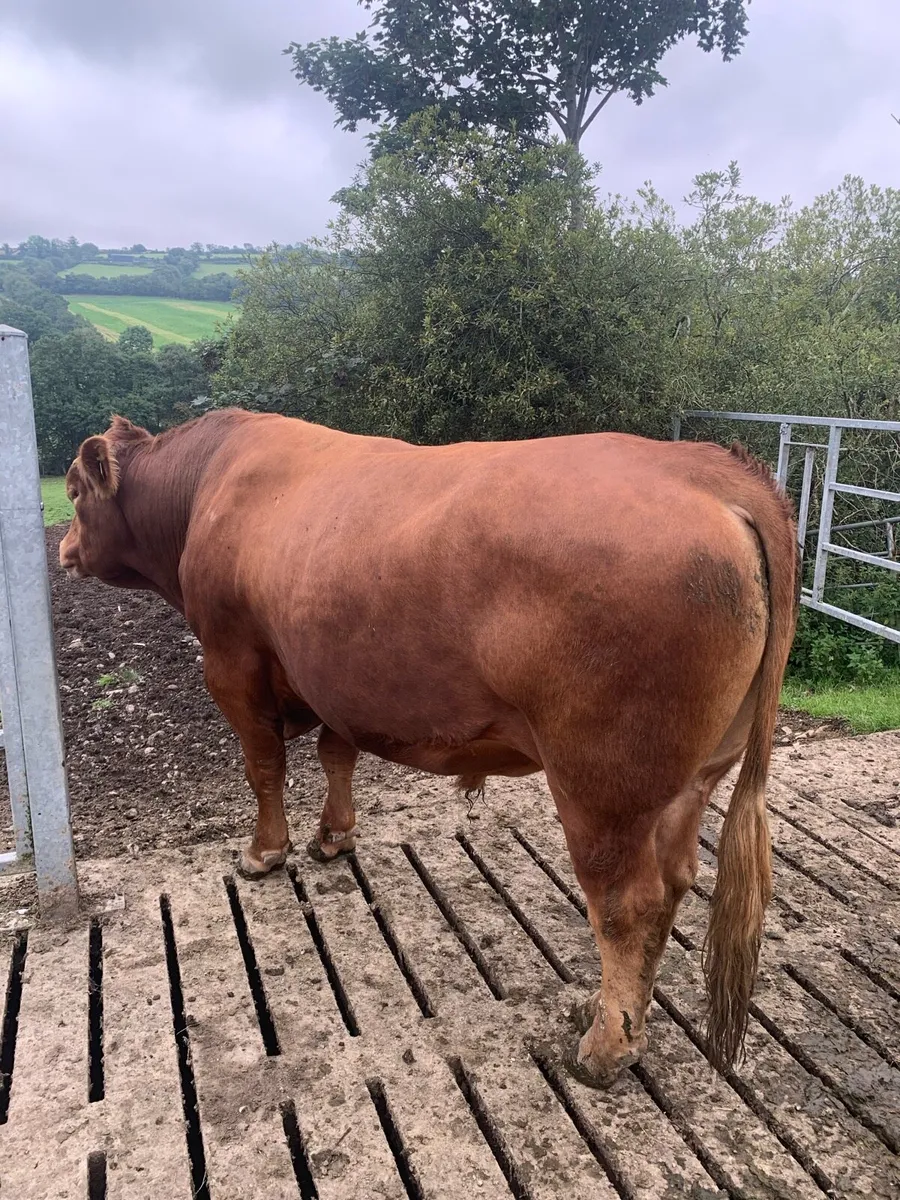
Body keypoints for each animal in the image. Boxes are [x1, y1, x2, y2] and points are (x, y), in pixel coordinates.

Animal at [59, 409, 797, 1086]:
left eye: (70, 488)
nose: (63, 548)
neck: (206, 487)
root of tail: (706, 467)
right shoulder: (338, 678)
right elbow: (336, 755)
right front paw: (334, 836)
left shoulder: (233, 663)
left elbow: (263, 765)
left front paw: (265, 851)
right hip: (694, 776)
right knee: (674, 882)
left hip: (603, 783)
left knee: (627, 902)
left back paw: (604, 1049)